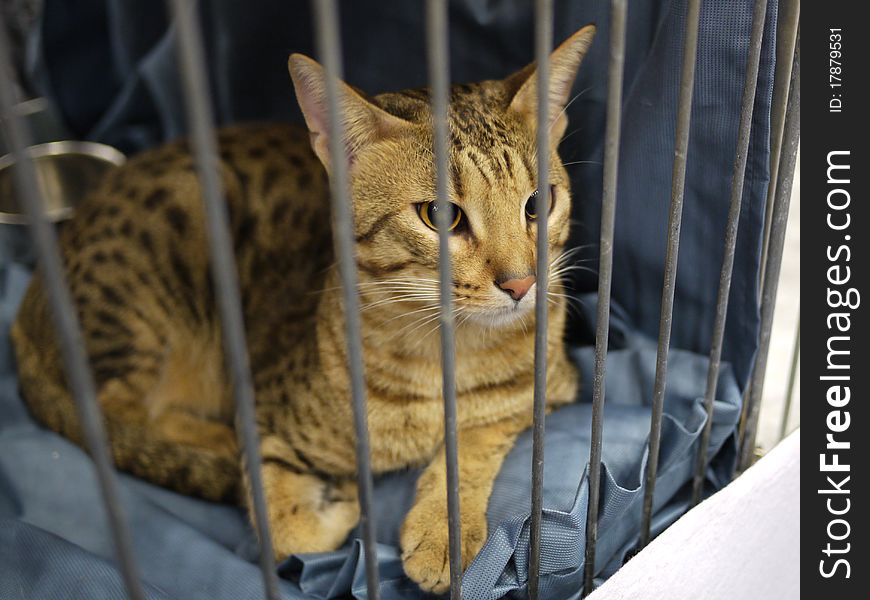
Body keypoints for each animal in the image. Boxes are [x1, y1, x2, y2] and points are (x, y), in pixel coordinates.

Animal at [11, 24, 600, 592]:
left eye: (539, 203)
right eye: (440, 215)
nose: (522, 282)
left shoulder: (553, 386)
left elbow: (479, 434)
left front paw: (442, 529)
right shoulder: (271, 413)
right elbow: (286, 529)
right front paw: (343, 507)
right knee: (121, 413)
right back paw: (218, 442)